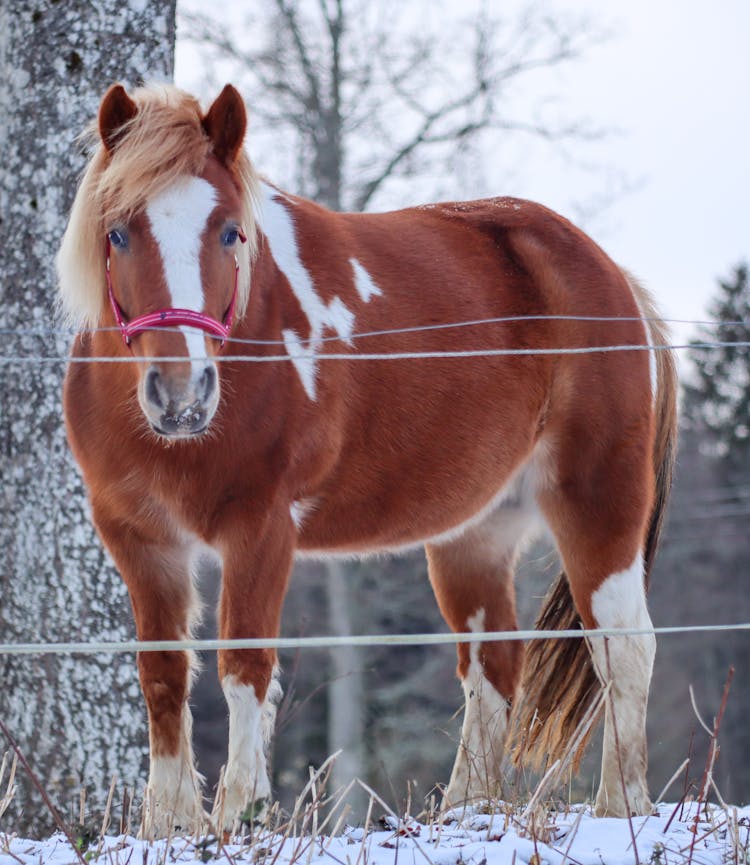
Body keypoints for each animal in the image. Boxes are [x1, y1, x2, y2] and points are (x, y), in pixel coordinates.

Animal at [58, 82, 680, 832]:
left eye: (231, 232)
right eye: (118, 232)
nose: (181, 394)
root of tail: (613, 276)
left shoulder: (260, 529)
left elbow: (244, 667)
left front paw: (239, 816)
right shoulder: (138, 538)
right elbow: (162, 676)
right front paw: (169, 825)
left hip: (598, 502)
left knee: (624, 647)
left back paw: (623, 808)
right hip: (475, 536)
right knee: (493, 667)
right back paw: (466, 810)